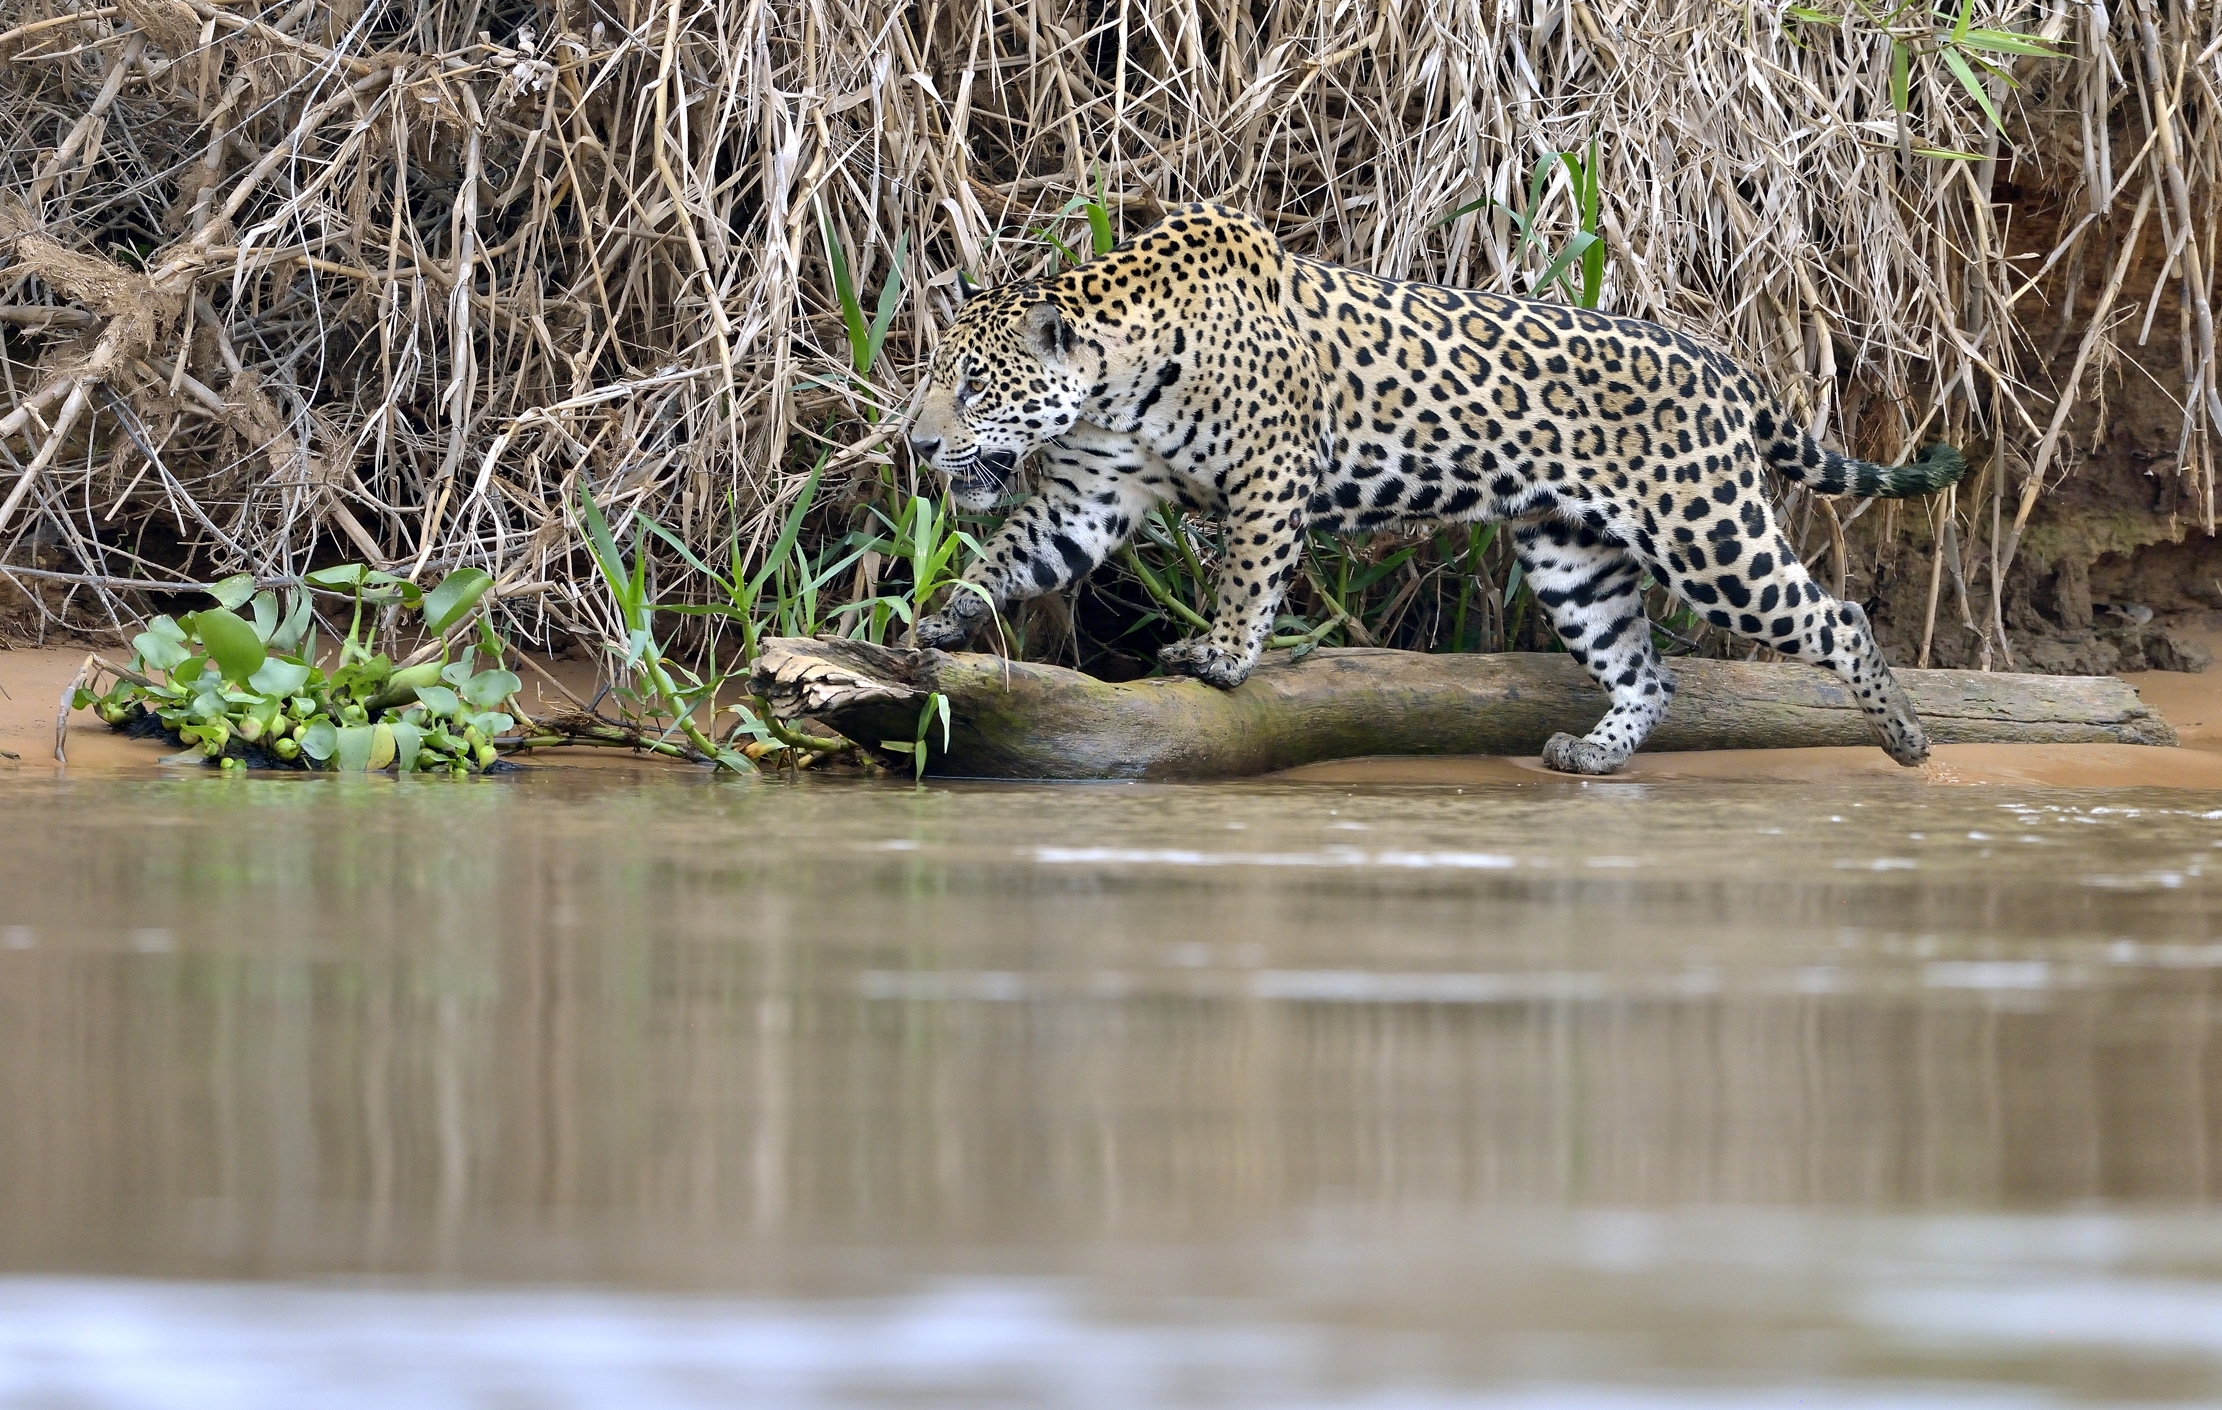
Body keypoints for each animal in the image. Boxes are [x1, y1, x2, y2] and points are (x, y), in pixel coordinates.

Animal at [905, 202, 1967, 775]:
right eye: (935, 378)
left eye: (972, 387)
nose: (916, 443)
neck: (1116, 376)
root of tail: (1728, 366)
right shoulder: (1091, 490)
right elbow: (1012, 553)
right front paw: (938, 620)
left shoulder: (1271, 471)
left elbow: (1245, 576)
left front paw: (1219, 657)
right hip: (1572, 555)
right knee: (1646, 671)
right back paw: (1594, 754)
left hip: (1706, 533)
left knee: (1837, 617)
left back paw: (1907, 739)